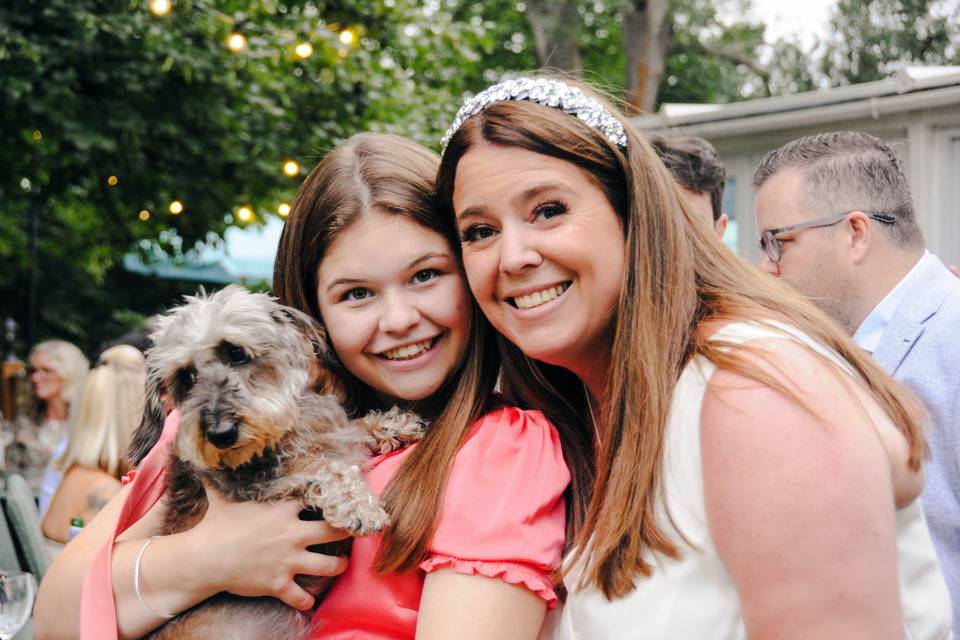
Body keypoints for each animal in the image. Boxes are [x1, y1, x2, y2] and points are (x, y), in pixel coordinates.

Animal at [127, 286, 424, 640]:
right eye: (185, 377)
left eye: (236, 353)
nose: (221, 434)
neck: (284, 430)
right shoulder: (256, 486)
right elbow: (323, 467)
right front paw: (358, 507)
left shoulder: (335, 433)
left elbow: (352, 431)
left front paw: (396, 424)